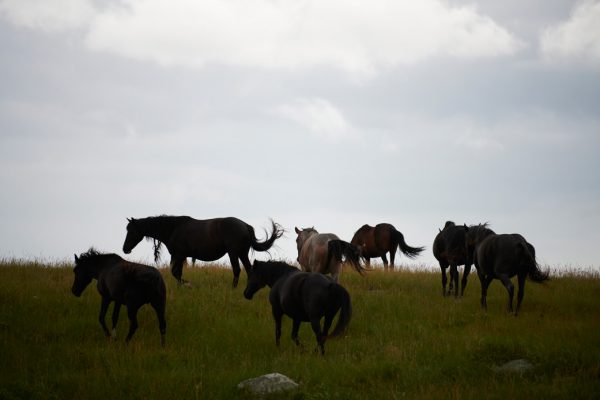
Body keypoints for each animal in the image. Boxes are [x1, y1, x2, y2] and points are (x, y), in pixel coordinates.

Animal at [122, 216, 284, 288]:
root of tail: (245, 225)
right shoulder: (179, 256)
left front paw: (187, 284)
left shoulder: (178, 255)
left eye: (132, 230)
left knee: (237, 270)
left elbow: (176, 273)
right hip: (242, 253)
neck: (173, 228)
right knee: (249, 270)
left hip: (233, 253)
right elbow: (177, 273)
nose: (125, 249)